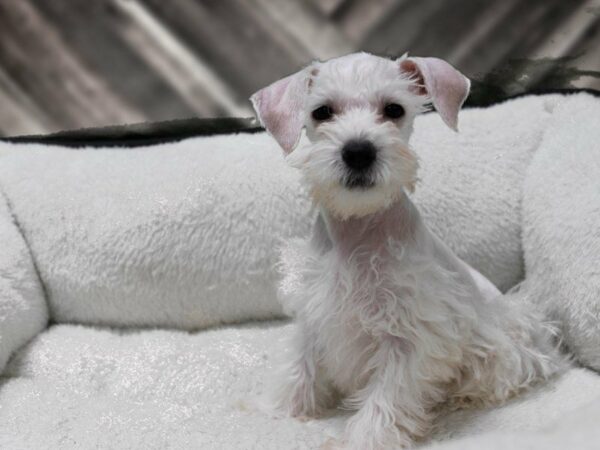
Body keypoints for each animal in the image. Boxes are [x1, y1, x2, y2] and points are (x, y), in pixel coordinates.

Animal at [248, 53, 564, 450]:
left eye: (394, 109)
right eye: (322, 112)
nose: (358, 151)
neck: (359, 231)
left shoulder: (410, 336)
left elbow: (387, 395)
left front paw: (366, 438)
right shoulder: (313, 313)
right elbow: (299, 367)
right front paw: (281, 411)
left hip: (505, 347)